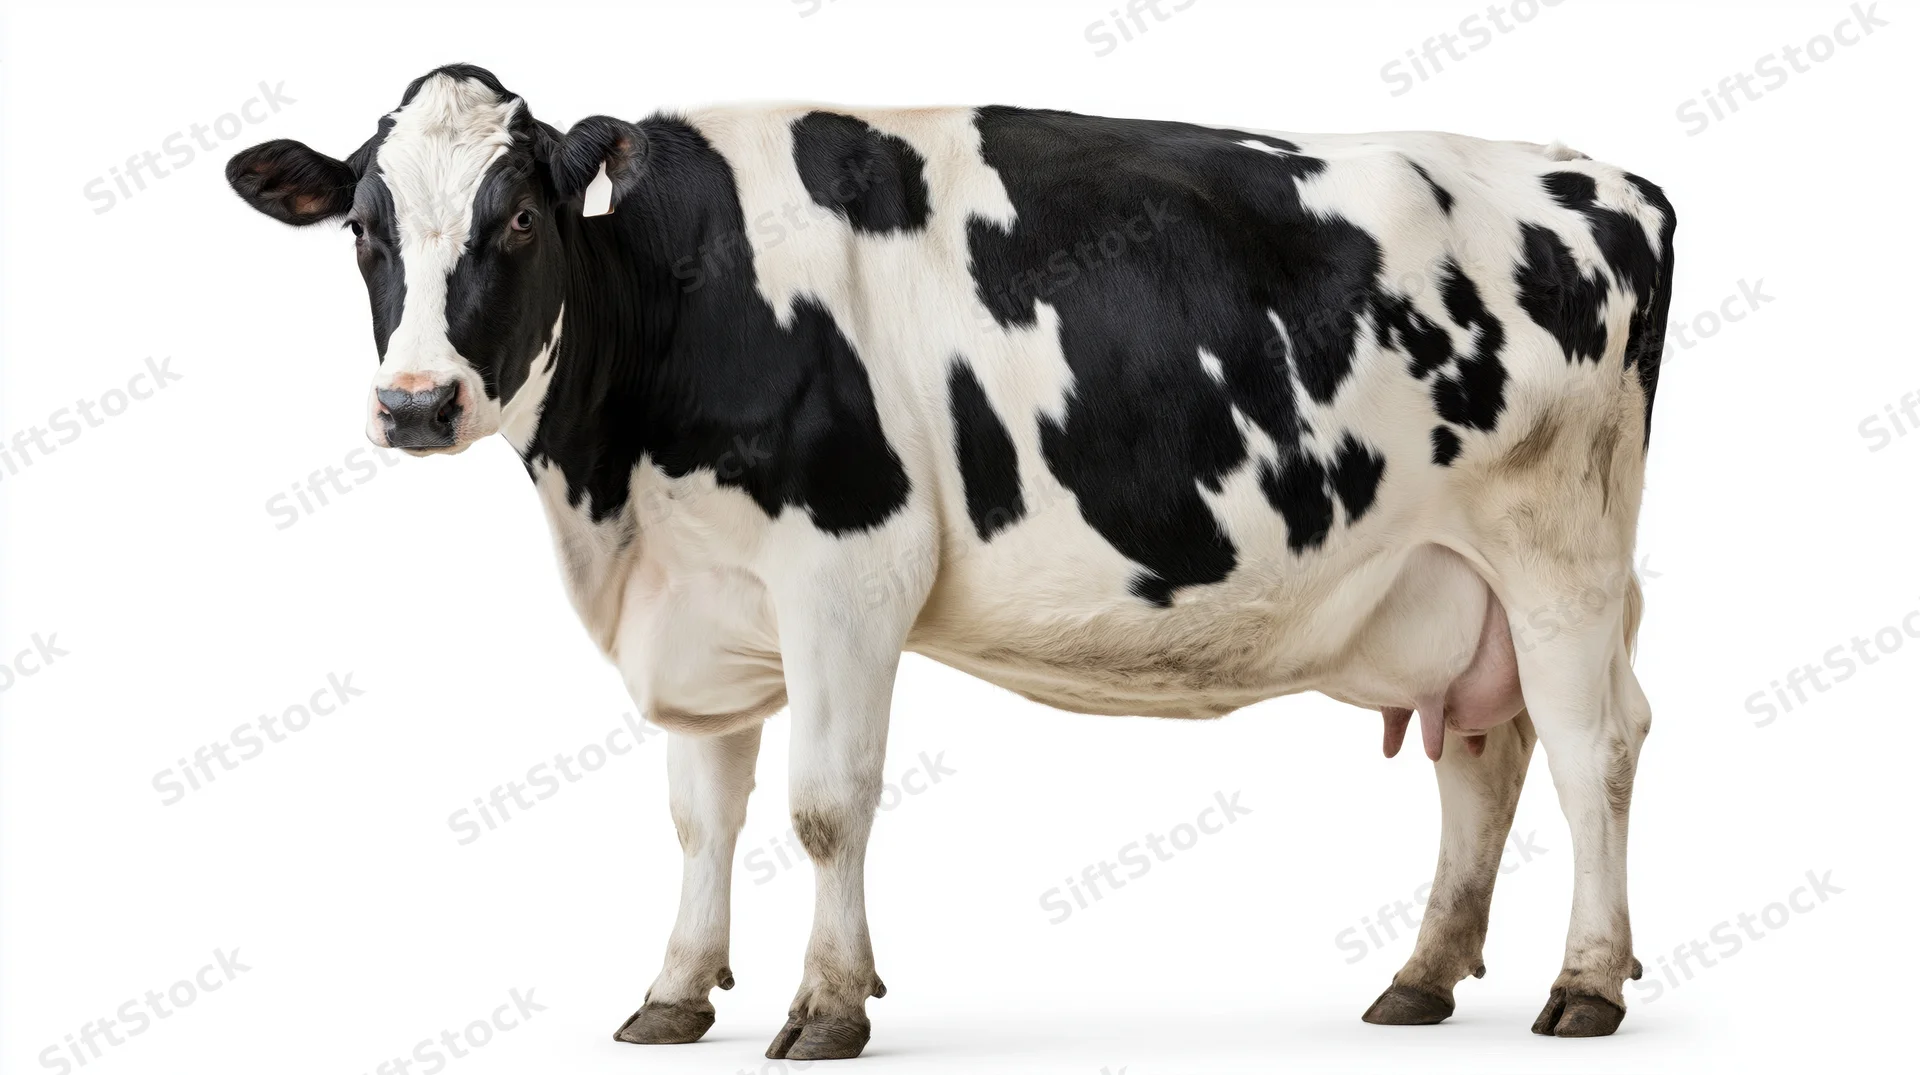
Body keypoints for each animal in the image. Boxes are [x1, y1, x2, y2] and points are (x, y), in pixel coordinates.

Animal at [228, 63, 1676, 1059]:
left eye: (520, 221)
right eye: (362, 230)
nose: (417, 403)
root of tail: (1604, 177)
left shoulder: (846, 566)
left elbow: (825, 802)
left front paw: (826, 1004)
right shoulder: (701, 595)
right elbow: (701, 814)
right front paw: (675, 991)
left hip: (1561, 542)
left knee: (1594, 743)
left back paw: (1587, 981)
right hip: (1458, 577)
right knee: (1485, 752)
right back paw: (1423, 975)